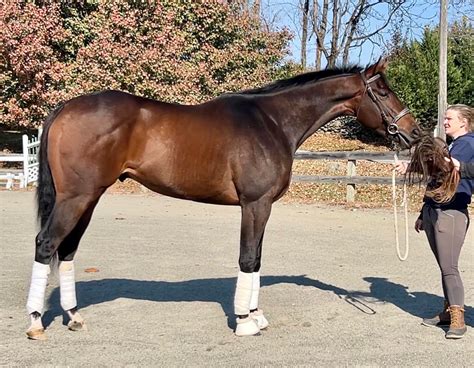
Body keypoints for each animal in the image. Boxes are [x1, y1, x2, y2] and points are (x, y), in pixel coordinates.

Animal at [26, 58, 418, 340]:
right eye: (384, 93)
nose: (413, 133)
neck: (273, 122)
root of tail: (65, 108)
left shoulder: (264, 206)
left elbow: (257, 259)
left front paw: (257, 316)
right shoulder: (255, 203)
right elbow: (247, 259)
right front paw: (244, 321)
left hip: (88, 199)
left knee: (67, 249)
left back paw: (74, 317)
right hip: (76, 198)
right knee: (46, 244)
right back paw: (35, 323)